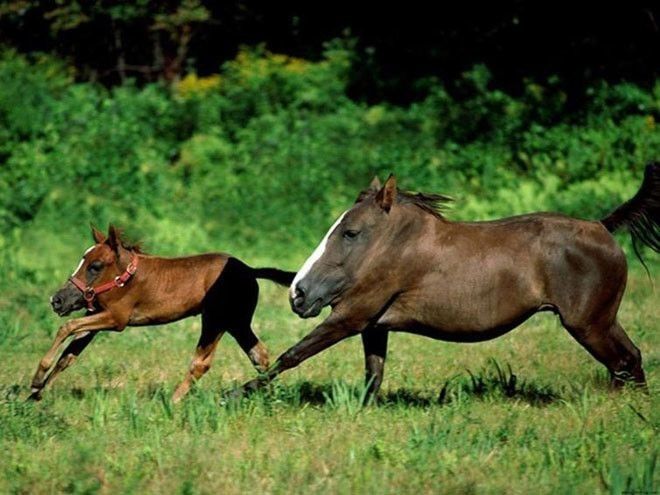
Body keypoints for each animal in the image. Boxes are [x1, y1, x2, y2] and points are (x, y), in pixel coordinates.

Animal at [31, 225, 294, 404]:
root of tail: (250, 270)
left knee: (202, 363)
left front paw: (36, 379)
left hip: (215, 320)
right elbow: (69, 354)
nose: (57, 300)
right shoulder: (95, 316)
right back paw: (269, 396)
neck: (127, 277)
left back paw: (172, 402)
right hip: (237, 322)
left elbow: (67, 327)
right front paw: (36, 394)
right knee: (259, 355)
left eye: (95, 266)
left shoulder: (116, 319)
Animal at [241, 163, 660, 400]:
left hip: (589, 323)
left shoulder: (351, 317)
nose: (298, 293)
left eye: (350, 232)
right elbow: (373, 377)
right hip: (601, 322)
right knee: (630, 361)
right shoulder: (373, 326)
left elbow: (291, 356)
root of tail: (603, 227)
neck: (399, 246)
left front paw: (236, 394)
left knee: (624, 362)